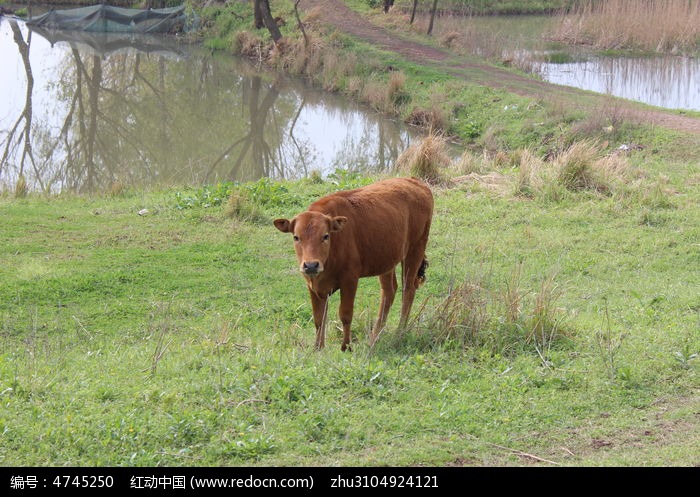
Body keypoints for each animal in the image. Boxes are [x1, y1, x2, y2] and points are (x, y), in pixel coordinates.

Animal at [274, 176, 432, 350]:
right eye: (296, 237)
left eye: (325, 236)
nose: (311, 265)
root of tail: (414, 181)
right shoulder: (312, 285)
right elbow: (319, 318)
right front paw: (318, 348)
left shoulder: (349, 280)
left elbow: (345, 314)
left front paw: (346, 347)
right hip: (387, 260)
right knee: (389, 291)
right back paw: (375, 336)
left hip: (415, 250)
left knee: (408, 290)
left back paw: (399, 332)